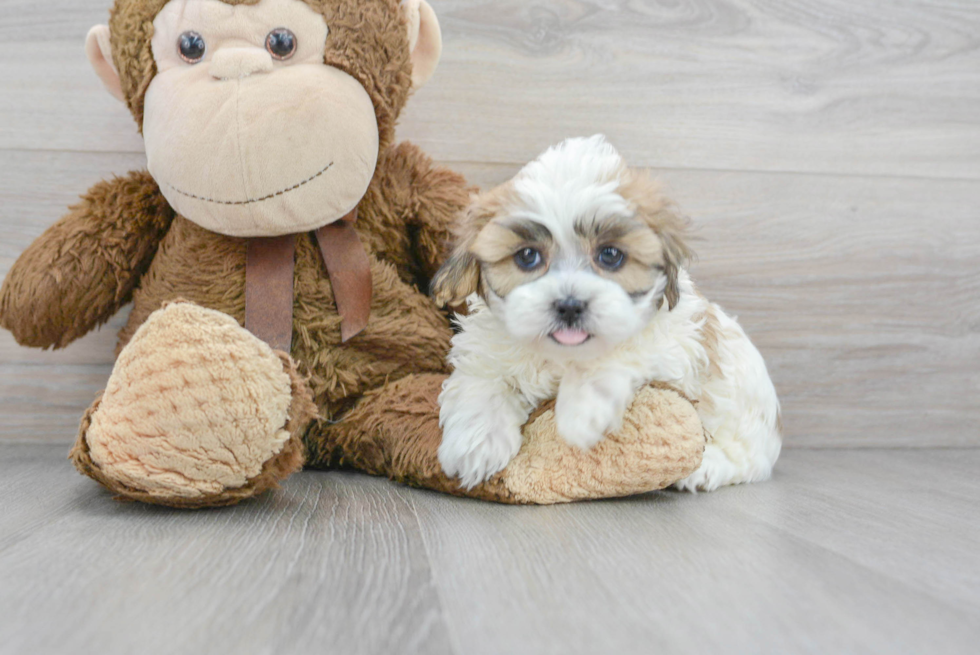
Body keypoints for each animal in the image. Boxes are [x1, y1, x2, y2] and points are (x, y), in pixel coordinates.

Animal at [428, 136, 780, 490]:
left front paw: (580, 412)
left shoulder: (670, 345)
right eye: (527, 256)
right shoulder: (489, 351)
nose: (569, 305)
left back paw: (705, 467)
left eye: (610, 255)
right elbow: (482, 381)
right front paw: (476, 444)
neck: (562, 356)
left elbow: (615, 355)